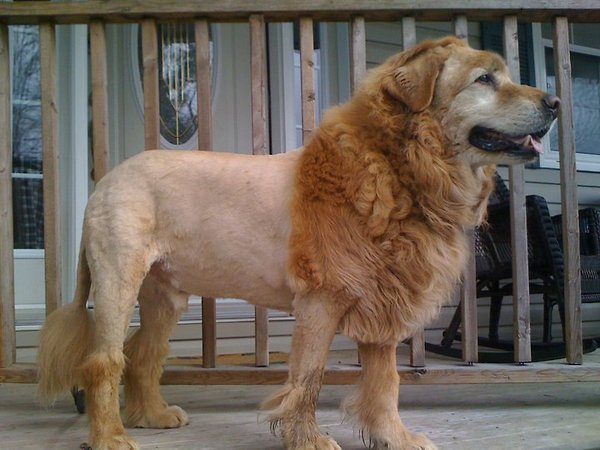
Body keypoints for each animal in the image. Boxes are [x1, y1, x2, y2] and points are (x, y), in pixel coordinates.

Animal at [38, 36, 556, 450]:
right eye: (484, 79)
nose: (554, 101)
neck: (398, 168)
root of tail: (106, 180)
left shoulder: (382, 300)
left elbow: (386, 382)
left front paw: (395, 438)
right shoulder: (320, 300)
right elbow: (307, 379)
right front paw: (307, 441)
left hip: (165, 295)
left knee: (144, 354)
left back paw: (152, 417)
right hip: (118, 281)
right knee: (104, 360)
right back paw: (111, 436)